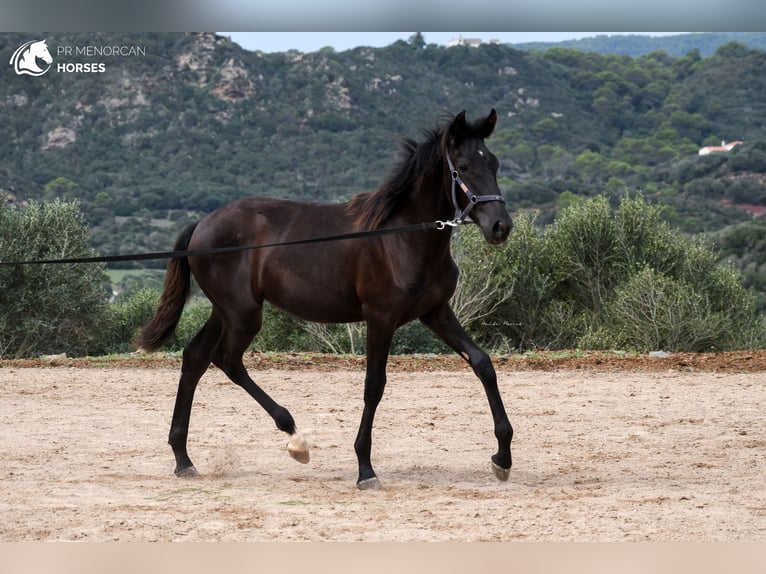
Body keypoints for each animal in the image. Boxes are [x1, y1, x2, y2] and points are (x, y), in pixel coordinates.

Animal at [141, 110, 520, 492]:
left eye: (495, 163)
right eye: (464, 166)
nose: (500, 226)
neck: (401, 238)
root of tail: (201, 224)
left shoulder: (435, 313)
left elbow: (482, 363)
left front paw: (502, 459)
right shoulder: (380, 318)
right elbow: (374, 385)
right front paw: (365, 469)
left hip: (226, 312)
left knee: (195, 357)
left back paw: (183, 458)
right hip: (243, 314)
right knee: (227, 360)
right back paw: (295, 438)